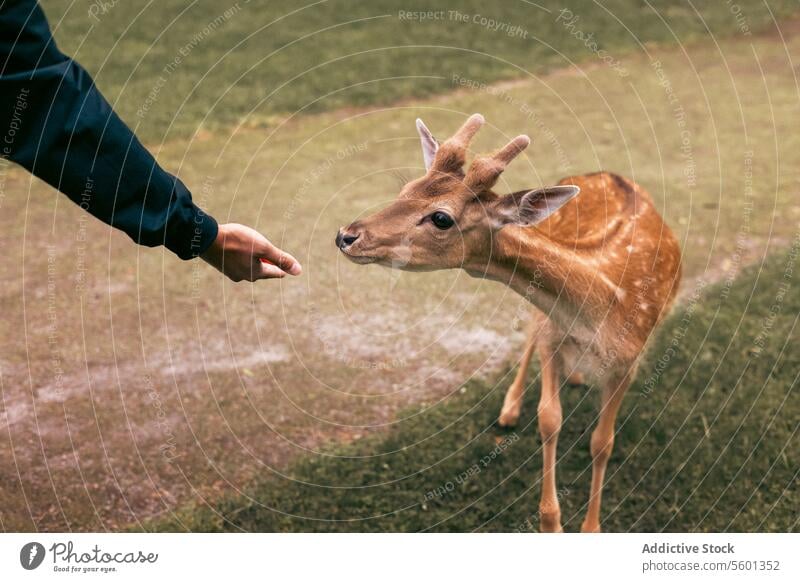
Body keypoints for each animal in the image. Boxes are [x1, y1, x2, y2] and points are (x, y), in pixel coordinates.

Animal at [336, 114, 680, 532]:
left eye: (441, 217)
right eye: (406, 189)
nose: (347, 235)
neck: (598, 311)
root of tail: (607, 173)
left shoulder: (629, 361)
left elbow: (603, 442)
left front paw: (590, 526)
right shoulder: (552, 334)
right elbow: (549, 419)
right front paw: (551, 523)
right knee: (530, 332)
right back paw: (512, 407)